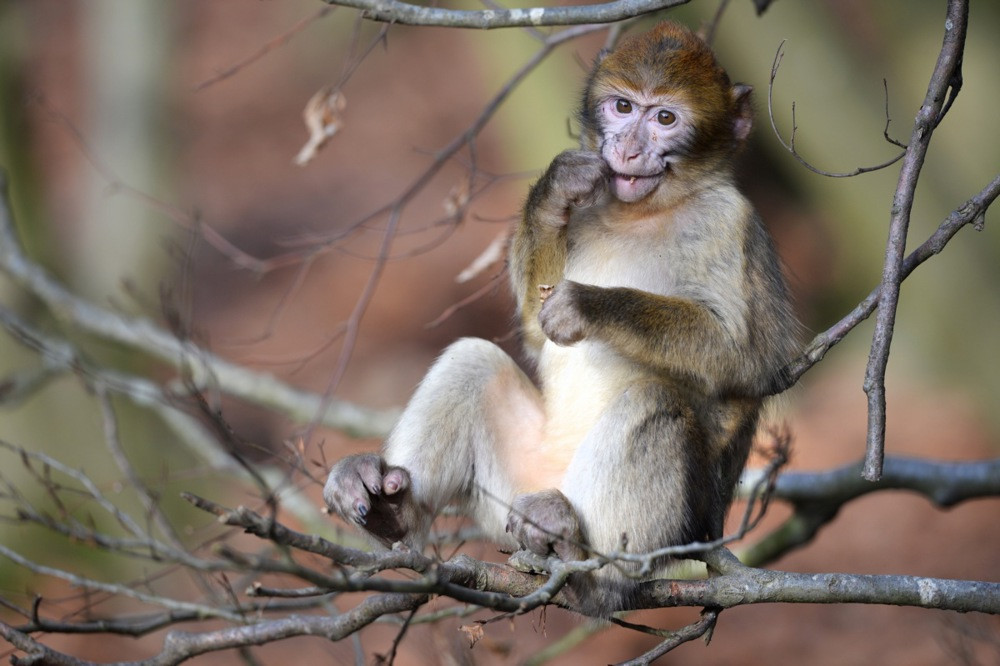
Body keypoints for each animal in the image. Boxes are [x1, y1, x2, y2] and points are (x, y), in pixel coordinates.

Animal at [324, 21, 797, 615]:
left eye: (665, 119)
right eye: (623, 107)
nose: (628, 147)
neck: (645, 212)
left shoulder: (732, 224)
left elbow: (758, 362)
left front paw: (588, 305)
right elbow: (532, 330)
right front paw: (556, 190)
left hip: (669, 534)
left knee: (655, 402)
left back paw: (589, 566)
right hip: (514, 489)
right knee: (473, 358)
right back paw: (394, 512)